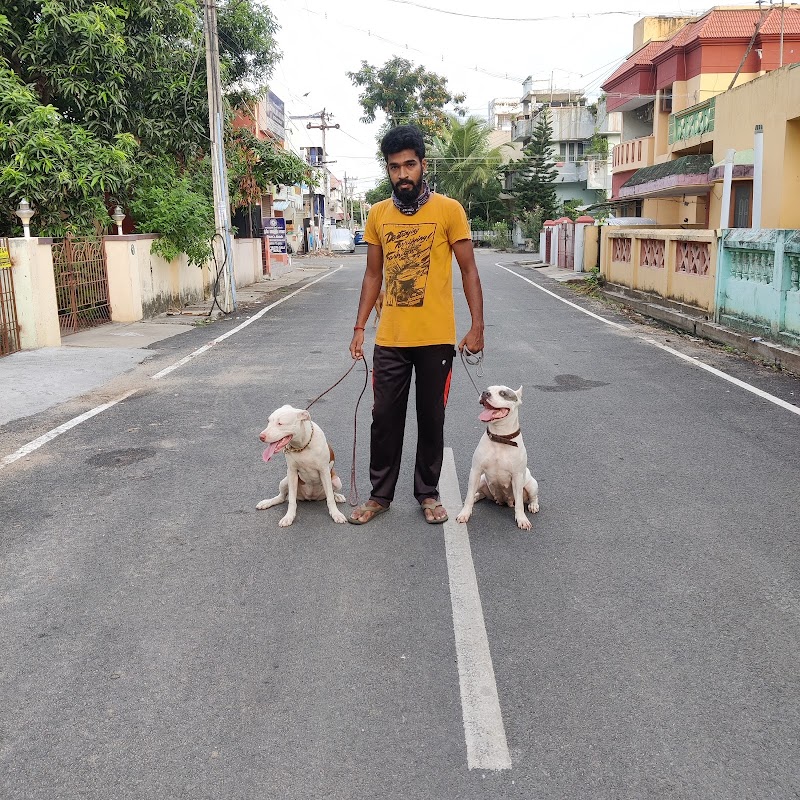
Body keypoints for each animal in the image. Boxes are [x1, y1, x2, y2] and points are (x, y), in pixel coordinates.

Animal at [456, 385, 539, 530]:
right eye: (487, 389)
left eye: (503, 393)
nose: (485, 393)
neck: (500, 437)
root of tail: (504, 501)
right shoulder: (476, 471)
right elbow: (468, 496)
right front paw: (465, 513)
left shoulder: (517, 477)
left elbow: (519, 504)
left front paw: (522, 519)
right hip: (482, 480)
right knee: (478, 494)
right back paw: (476, 497)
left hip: (531, 484)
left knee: (532, 497)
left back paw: (533, 505)